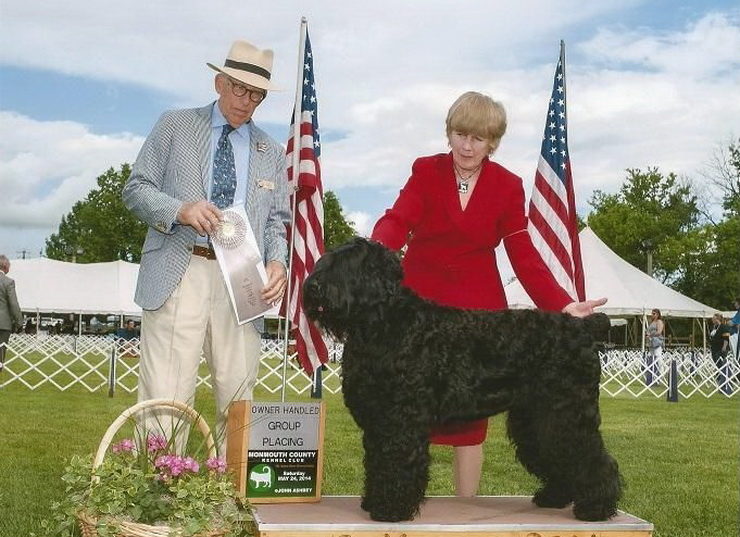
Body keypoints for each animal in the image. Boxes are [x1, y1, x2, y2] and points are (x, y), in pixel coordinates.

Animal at [304, 238, 620, 520]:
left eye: (350, 264)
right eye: (325, 261)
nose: (313, 287)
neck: (382, 324)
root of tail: (582, 328)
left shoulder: (400, 420)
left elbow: (396, 462)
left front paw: (390, 509)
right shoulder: (378, 420)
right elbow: (377, 463)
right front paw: (373, 501)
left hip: (565, 414)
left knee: (592, 458)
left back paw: (596, 508)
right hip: (535, 418)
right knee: (557, 456)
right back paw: (554, 497)